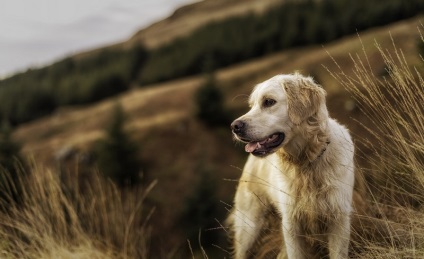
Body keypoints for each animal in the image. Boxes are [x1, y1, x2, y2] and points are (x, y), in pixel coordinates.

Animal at [229, 73, 354, 259]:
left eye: (268, 102)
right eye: (252, 106)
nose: (234, 126)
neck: (306, 163)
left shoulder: (339, 220)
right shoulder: (291, 225)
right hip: (248, 227)